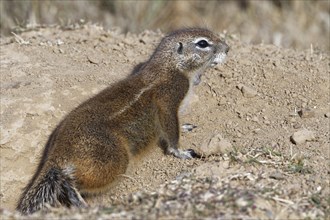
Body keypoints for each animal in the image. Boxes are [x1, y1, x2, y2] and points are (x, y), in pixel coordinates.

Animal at [14, 27, 227, 215]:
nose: (227, 48)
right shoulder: (170, 97)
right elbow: (170, 128)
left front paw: (185, 126)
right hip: (114, 160)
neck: (171, 66)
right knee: (69, 180)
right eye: (202, 43)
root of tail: (58, 153)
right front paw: (181, 152)